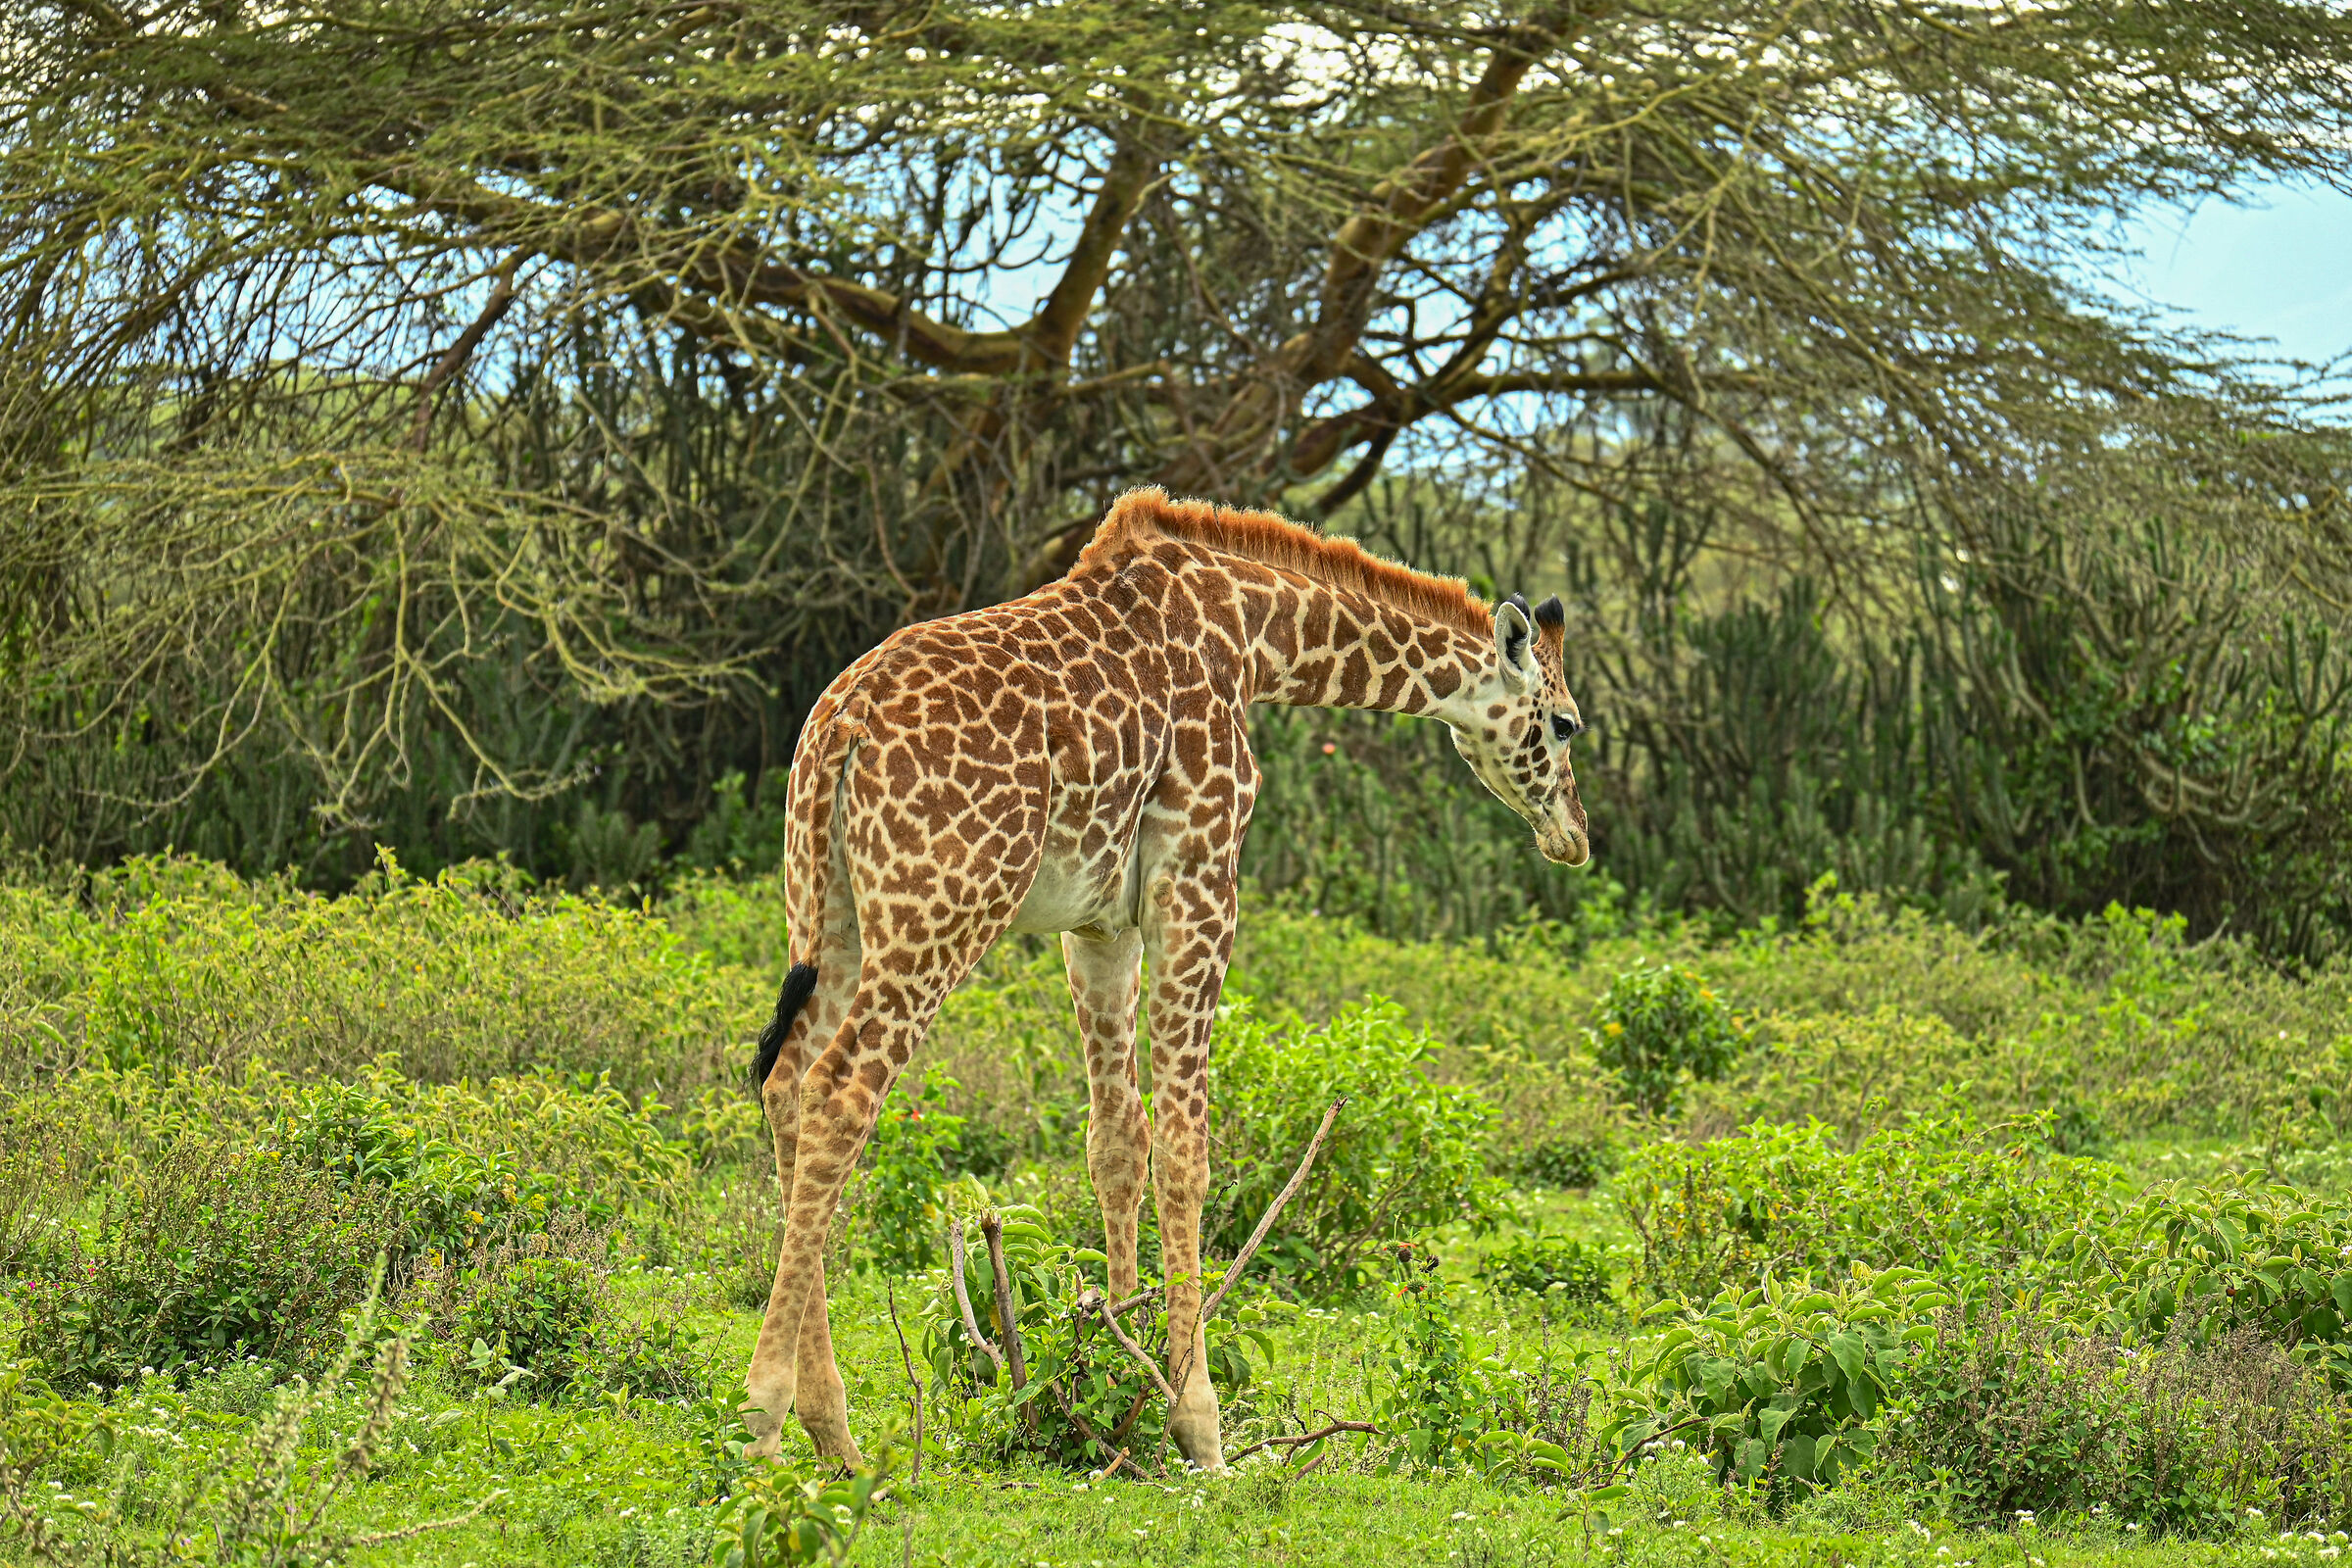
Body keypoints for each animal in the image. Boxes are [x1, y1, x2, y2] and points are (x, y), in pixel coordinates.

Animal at [743, 487, 1589, 1471]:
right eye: (1564, 723)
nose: (1573, 836)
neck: (1258, 637)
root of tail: (839, 728)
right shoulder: (1202, 879)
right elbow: (1188, 1149)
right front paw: (1198, 1421)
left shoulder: (1099, 925)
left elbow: (1116, 1144)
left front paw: (1111, 1372)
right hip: (944, 909)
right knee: (842, 1093)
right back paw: (769, 1413)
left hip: (828, 911)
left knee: (787, 1083)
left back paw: (833, 1431)